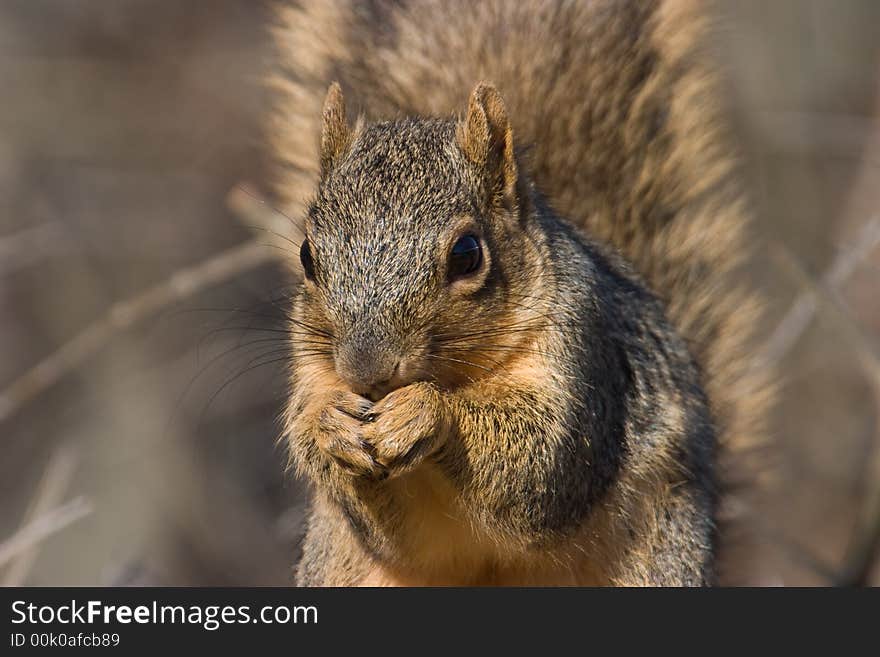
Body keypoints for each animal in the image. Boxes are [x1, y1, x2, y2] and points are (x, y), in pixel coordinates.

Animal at [270, 0, 768, 584]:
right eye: (307, 255)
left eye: (467, 253)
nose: (365, 372)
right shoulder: (314, 372)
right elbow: (391, 535)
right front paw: (330, 430)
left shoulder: (585, 361)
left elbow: (541, 467)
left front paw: (425, 410)